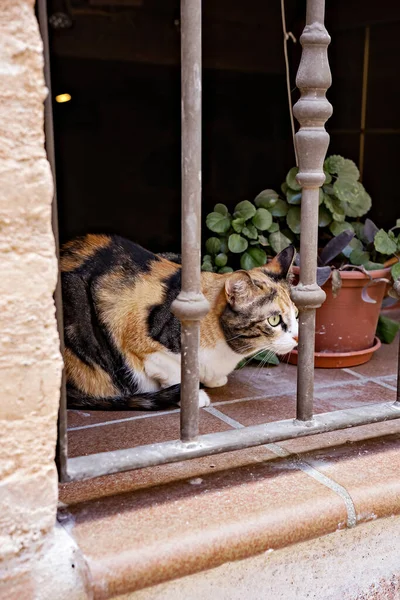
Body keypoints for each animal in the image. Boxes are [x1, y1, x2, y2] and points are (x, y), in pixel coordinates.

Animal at [61, 237, 298, 410]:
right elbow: (174, 370)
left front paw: (214, 380)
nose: (297, 337)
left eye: (296, 314)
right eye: (274, 320)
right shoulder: (140, 342)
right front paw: (194, 396)